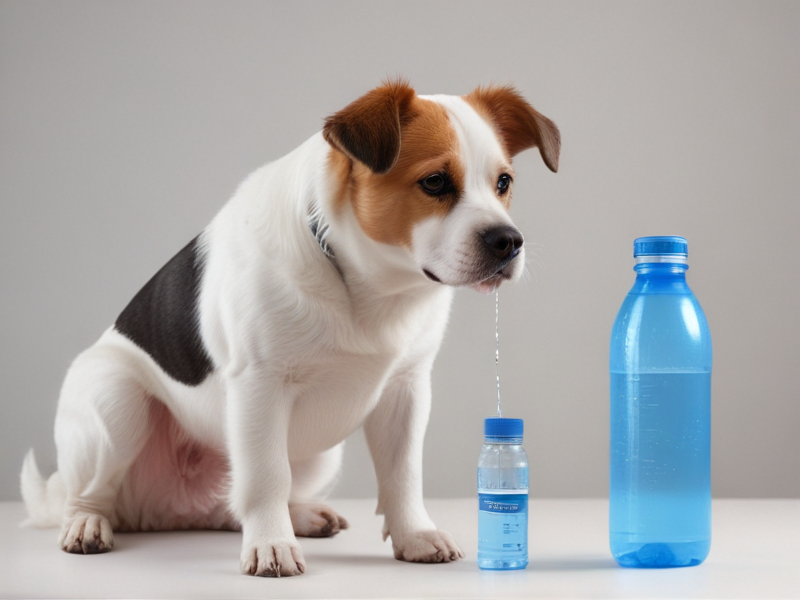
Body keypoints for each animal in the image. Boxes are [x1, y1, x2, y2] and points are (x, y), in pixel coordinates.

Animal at [17, 81, 556, 576]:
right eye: (436, 182)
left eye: (503, 182)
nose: (508, 241)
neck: (366, 284)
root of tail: (166, 512)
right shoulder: (261, 387)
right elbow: (266, 477)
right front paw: (271, 546)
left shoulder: (406, 391)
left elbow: (403, 475)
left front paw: (415, 534)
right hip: (116, 405)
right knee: (92, 493)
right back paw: (87, 523)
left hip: (321, 455)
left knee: (235, 505)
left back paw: (300, 515)